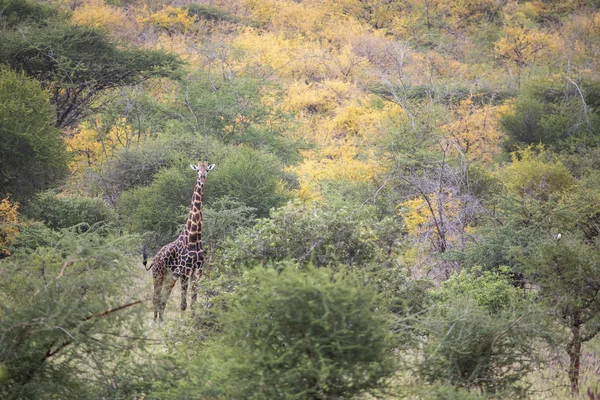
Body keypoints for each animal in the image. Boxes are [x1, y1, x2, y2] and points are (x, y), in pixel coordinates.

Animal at [142, 159, 214, 322]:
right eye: (197, 170)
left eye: (207, 170)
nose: (202, 178)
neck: (194, 237)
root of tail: (154, 259)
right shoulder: (185, 271)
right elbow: (183, 304)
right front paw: (182, 323)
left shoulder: (197, 271)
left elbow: (193, 303)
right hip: (158, 275)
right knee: (155, 298)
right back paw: (155, 322)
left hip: (170, 278)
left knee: (163, 300)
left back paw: (161, 321)